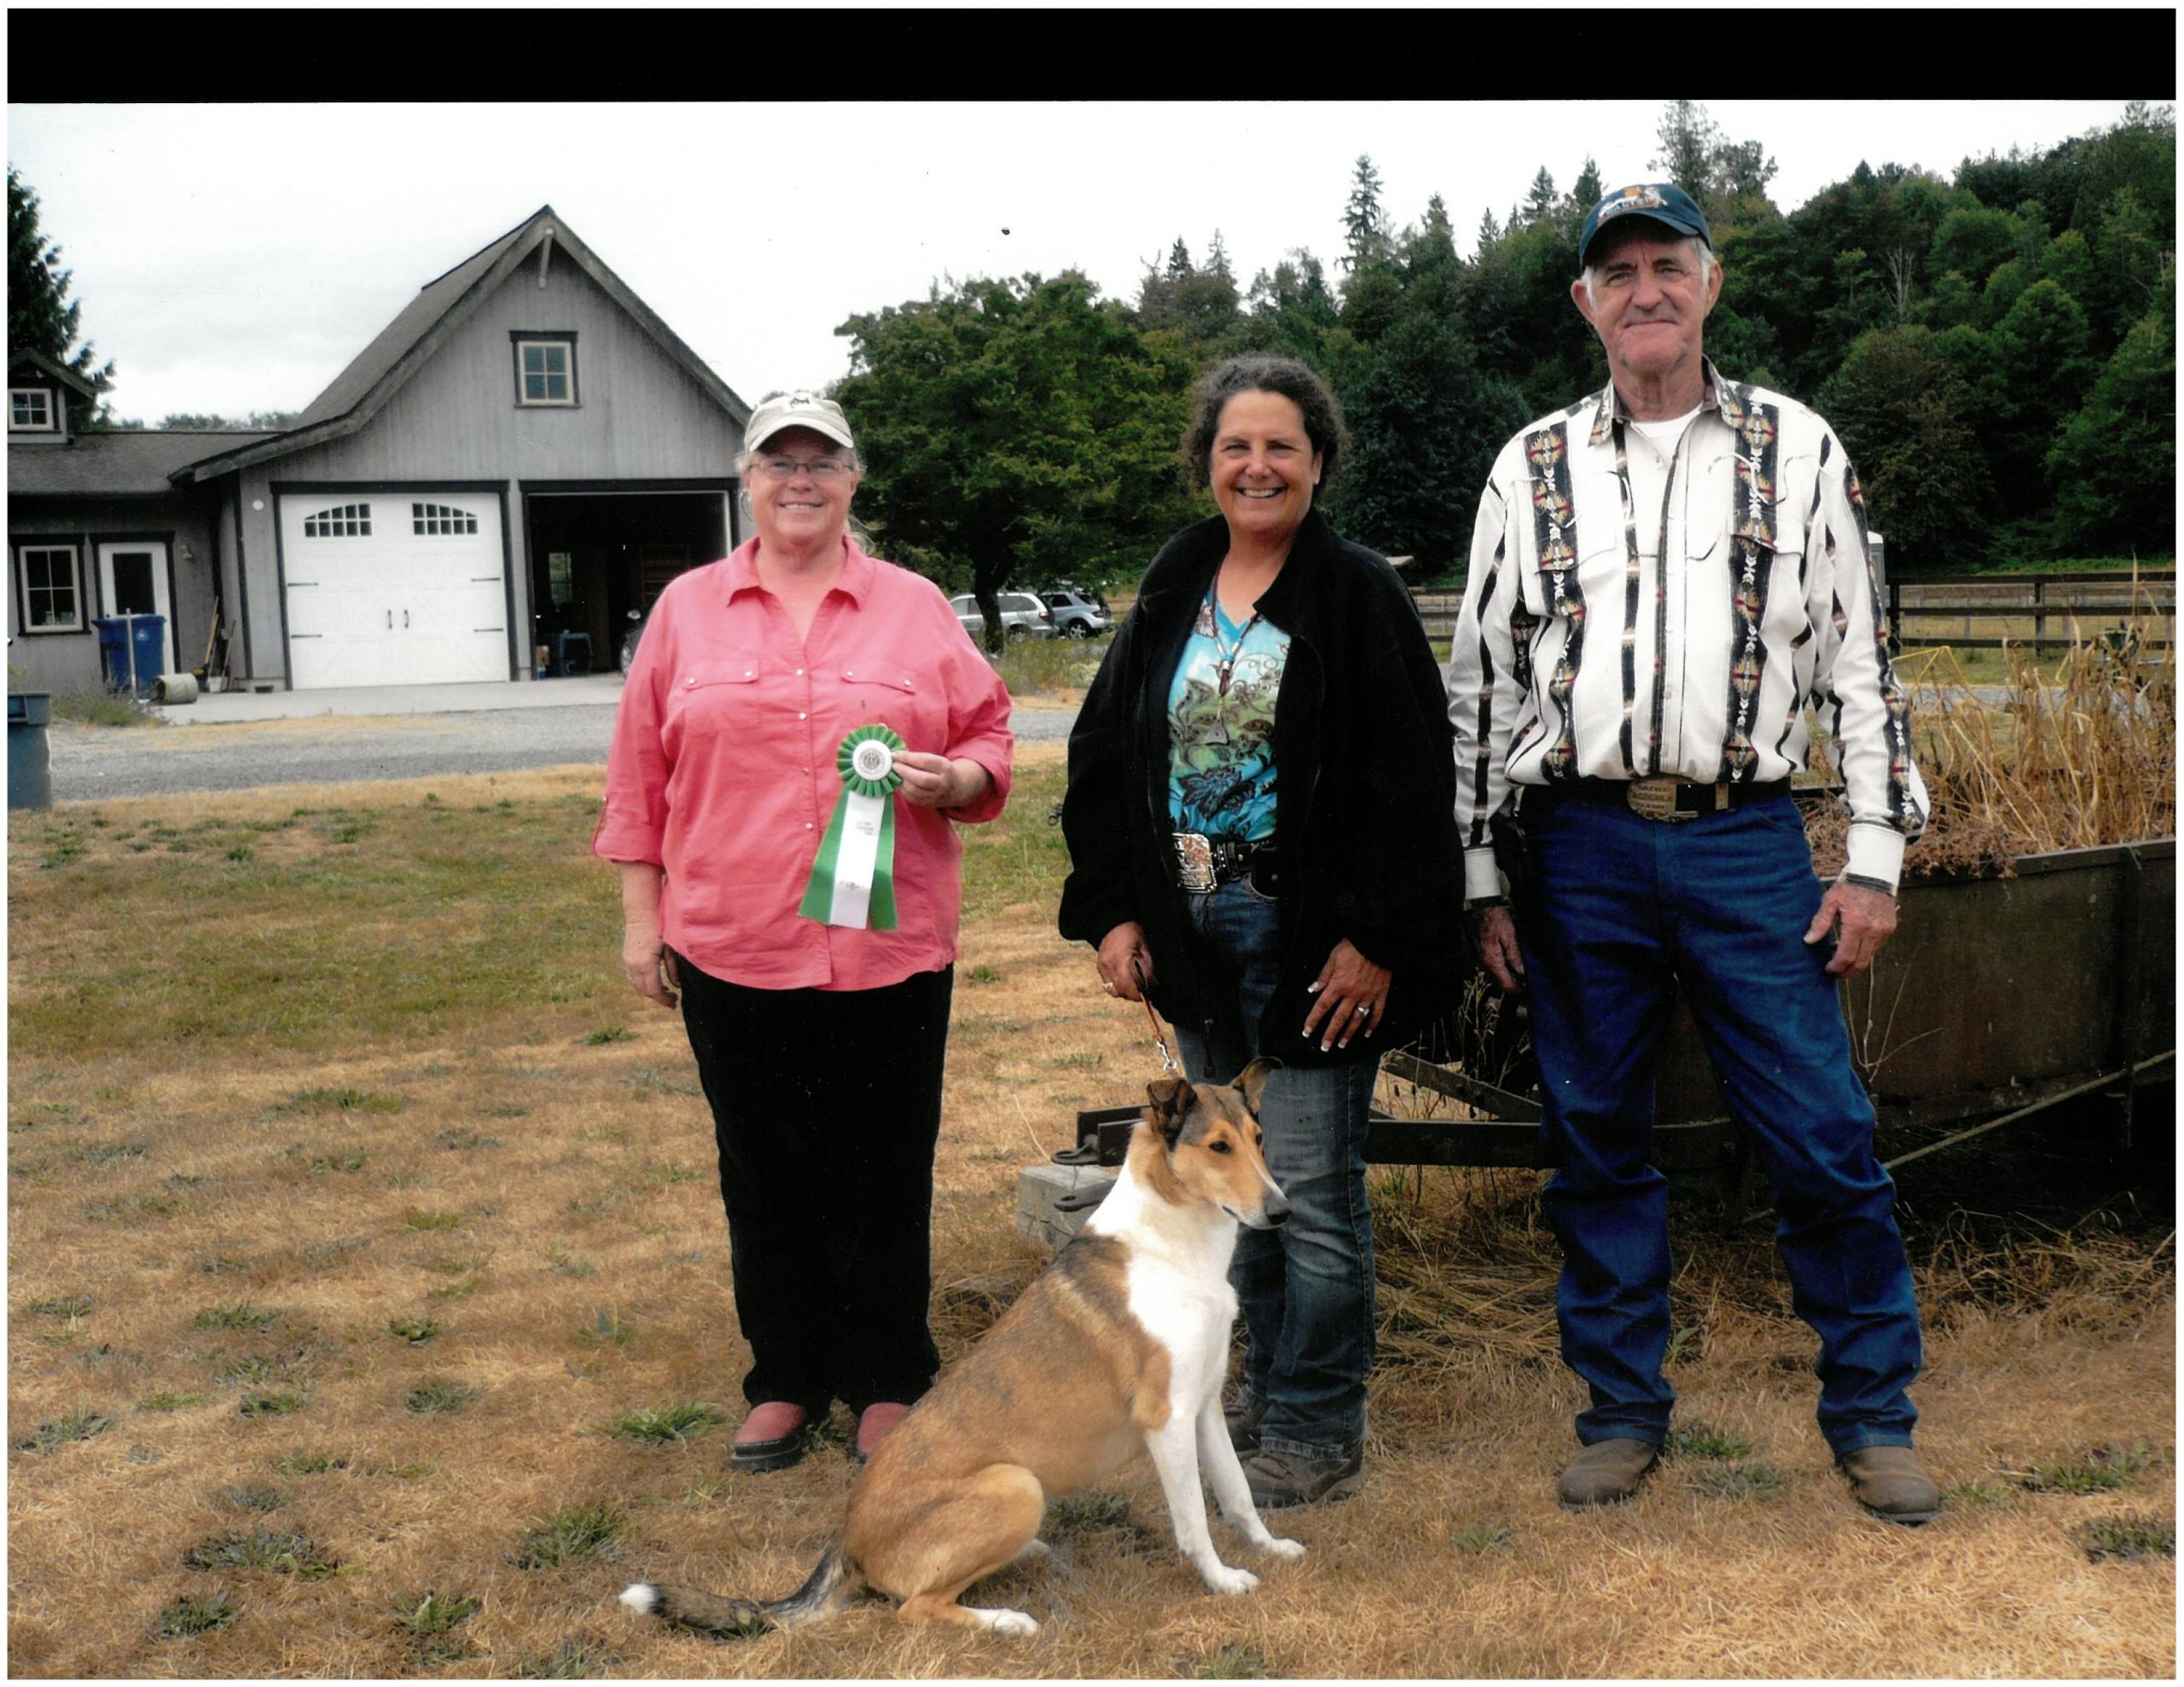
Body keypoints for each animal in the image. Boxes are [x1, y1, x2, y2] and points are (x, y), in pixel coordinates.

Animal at [620, 1064, 1292, 1632]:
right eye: (1218, 1147)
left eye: (1260, 1137)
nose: (1282, 1212)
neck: (1176, 1247)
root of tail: (844, 1540)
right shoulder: (1166, 1419)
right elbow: (1194, 1520)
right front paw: (1223, 1581)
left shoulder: (1203, 1407)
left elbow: (1236, 1493)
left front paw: (1271, 1547)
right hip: (1016, 1486)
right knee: (914, 1608)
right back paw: (1008, 1621)